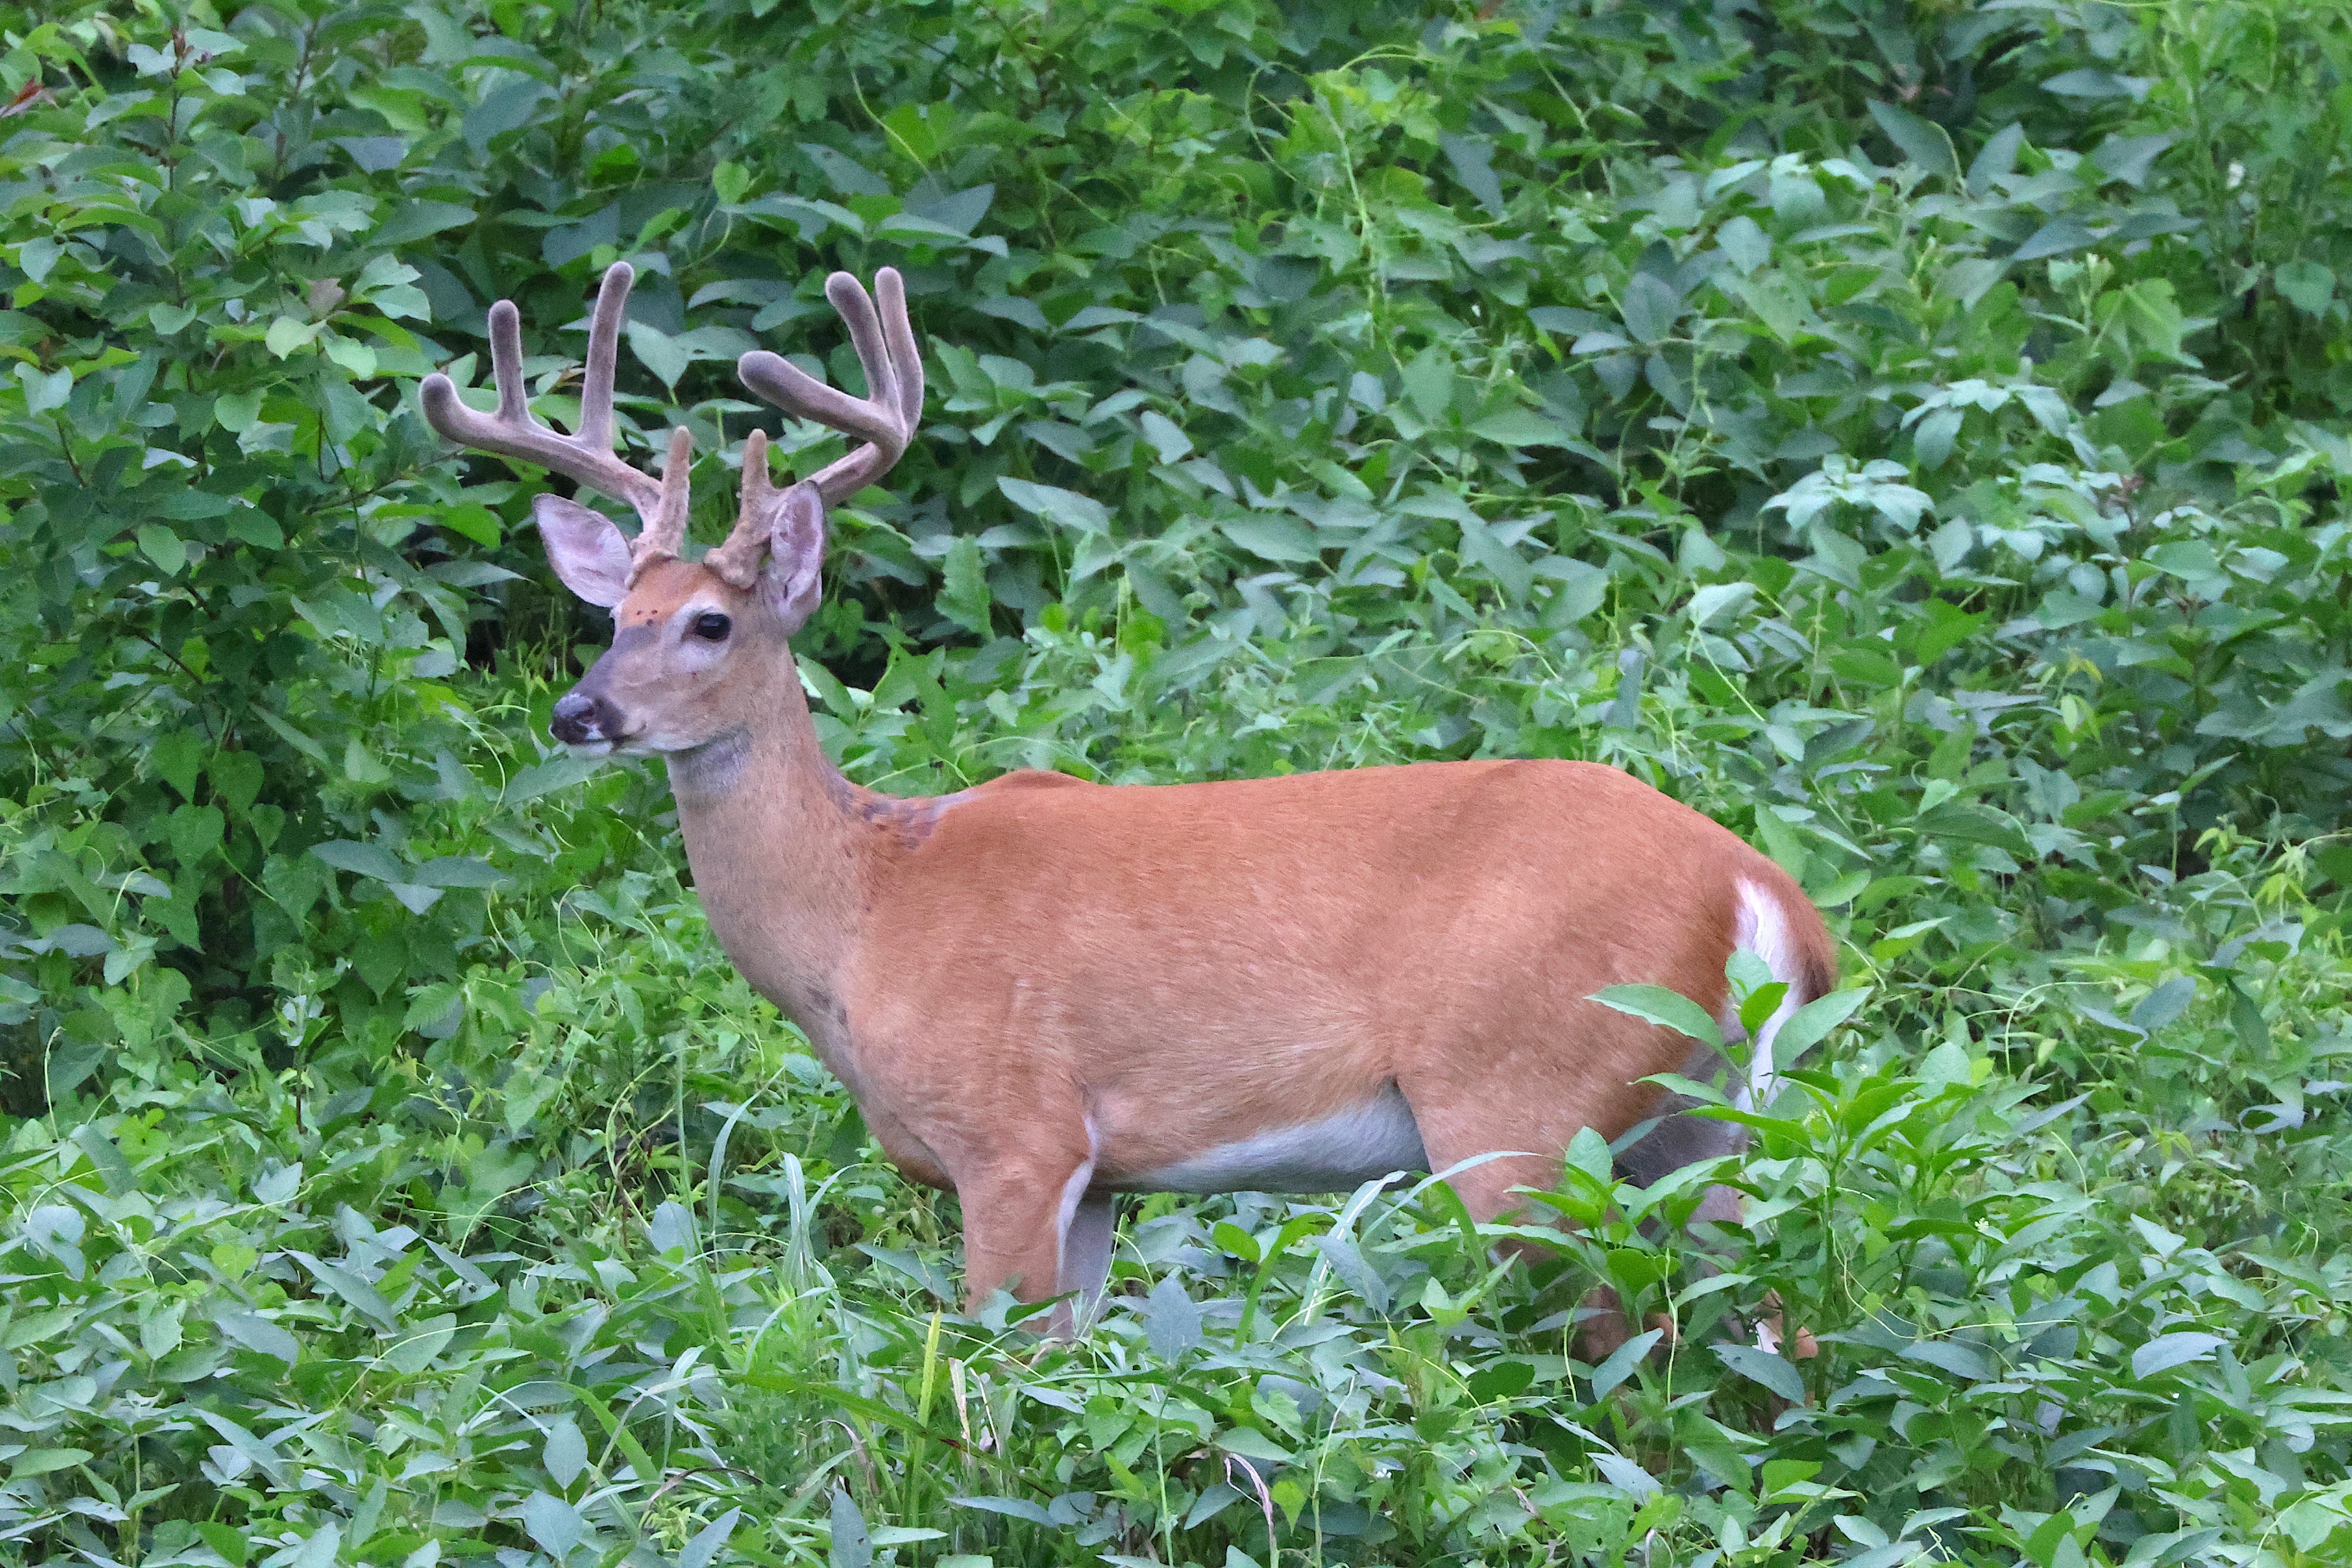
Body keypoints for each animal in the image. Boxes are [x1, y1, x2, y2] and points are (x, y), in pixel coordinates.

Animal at [420, 261, 1837, 1343]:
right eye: (615, 616)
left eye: (710, 623)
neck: (867, 908)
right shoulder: (1105, 1177)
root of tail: (1765, 893)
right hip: (1701, 1124)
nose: (578, 712)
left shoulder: (1015, 1131)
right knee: (1763, 1328)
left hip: (1522, 1105)